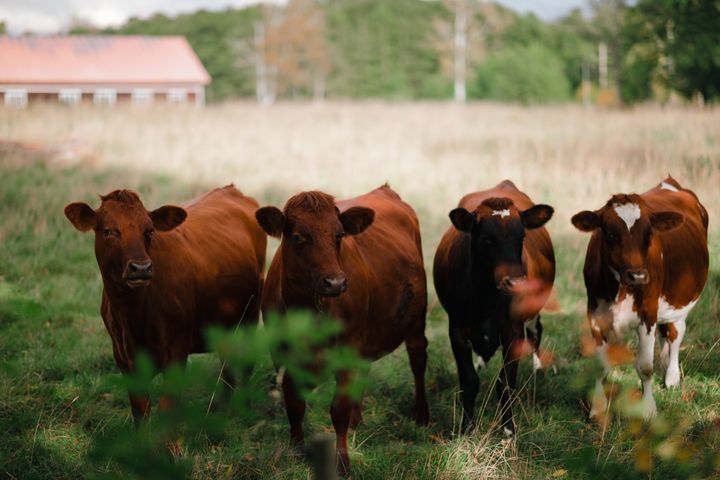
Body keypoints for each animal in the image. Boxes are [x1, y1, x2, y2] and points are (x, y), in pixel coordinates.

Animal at [64, 186, 268, 422]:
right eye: (108, 231)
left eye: (149, 230)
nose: (141, 268)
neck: (132, 315)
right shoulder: (123, 358)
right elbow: (141, 410)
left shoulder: (177, 351)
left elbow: (166, 409)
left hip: (250, 314)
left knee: (245, 364)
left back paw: (242, 408)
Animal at [256, 184, 428, 472]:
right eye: (298, 237)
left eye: (339, 235)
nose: (335, 282)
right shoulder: (281, 355)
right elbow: (295, 405)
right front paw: (296, 450)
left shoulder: (346, 351)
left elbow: (338, 409)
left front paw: (342, 461)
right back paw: (358, 419)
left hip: (416, 319)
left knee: (418, 359)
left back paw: (421, 415)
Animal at [434, 180, 556, 436]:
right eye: (486, 239)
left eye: (522, 237)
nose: (516, 282)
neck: (485, 298)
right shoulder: (457, 330)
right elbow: (469, 381)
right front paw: (467, 427)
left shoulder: (514, 332)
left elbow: (506, 383)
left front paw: (508, 430)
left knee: (536, 331)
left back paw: (538, 368)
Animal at [572, 176, 708, 420]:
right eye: (610, 234)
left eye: (649, 234)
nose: (638, 276)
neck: (620, 288)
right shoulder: (595, 314)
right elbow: (601, 365)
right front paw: (598, 408)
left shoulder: (648, 313)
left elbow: (645, 367)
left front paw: (648, 408)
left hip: (679, 303)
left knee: (676, 333)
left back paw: (672, 376)